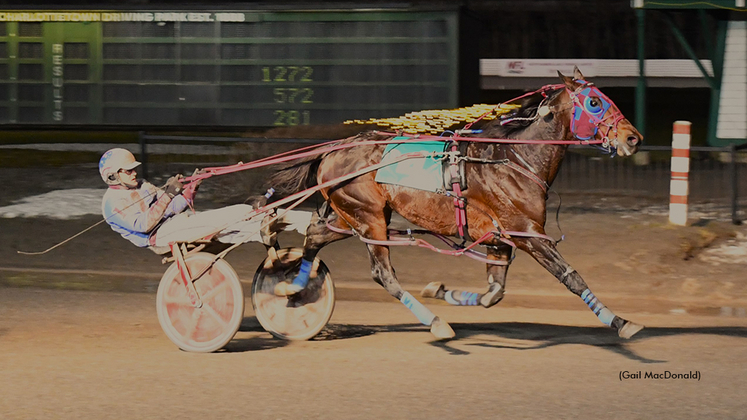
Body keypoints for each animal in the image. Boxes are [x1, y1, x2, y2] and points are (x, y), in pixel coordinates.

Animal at [268, 67, 644, 340]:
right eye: (594, 103)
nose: (633, 138)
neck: (514, 159)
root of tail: (332, 150)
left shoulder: (498, 239)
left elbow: (494, 293)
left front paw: (440, 289)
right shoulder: (527, 233)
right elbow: (571, 277)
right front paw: (621, 321)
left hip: (351, 217)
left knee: (315, 235)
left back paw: (293, 287)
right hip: (368, 218)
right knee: (382, 273)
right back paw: (435, 323)